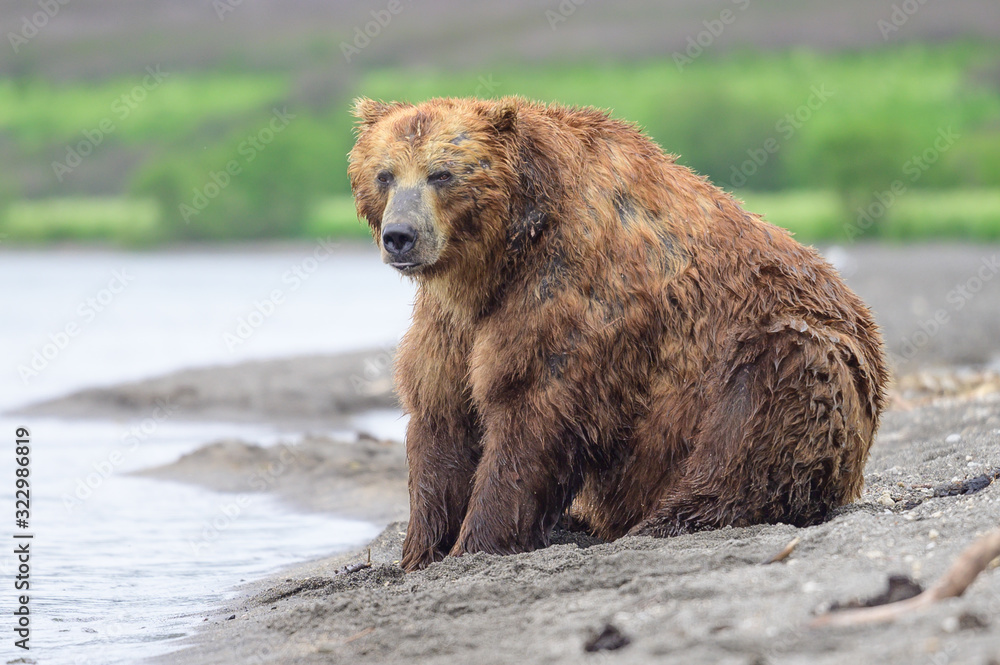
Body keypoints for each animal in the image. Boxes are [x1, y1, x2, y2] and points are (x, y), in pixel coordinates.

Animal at [348, 96, 888, 572]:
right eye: (385, 174)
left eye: (442, 174)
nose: (400, 236)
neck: (500, 256)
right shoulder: (452, 321)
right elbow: (442, 414)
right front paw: (419, 553)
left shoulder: (571, 287)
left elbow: (530, 409)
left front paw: (477, 543)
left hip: (794, 356)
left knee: (755, 412)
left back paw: (667, 519)